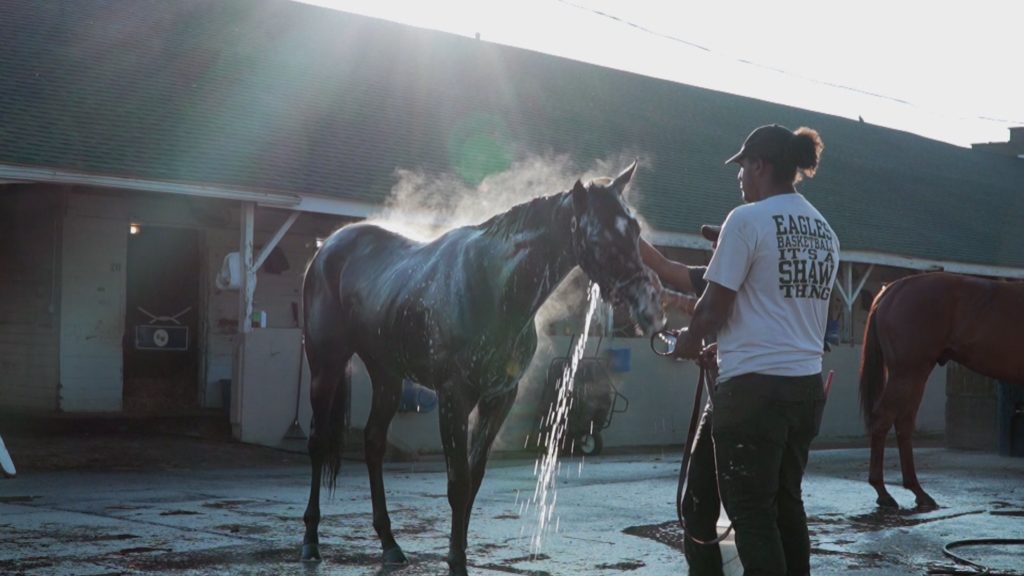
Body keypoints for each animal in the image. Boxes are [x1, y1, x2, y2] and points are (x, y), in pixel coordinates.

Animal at [299, 162, 663, 573]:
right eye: (598, 236)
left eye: (634, 230)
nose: (648, 303)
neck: (494, 286)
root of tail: (328, 247)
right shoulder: (453, 398)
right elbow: (457, 482)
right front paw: (455, 561)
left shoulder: (498, 398)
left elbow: (474, 479)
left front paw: (459, 553)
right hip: (325, 367)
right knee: (317, 442)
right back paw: (310, 542)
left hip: (387, 375)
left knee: (373, 443)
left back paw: (390, 544)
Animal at [860, 268, 1019, 506]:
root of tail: (896, 288)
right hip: (907, 372)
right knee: (884, 419)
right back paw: (884, 493)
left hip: (914, 376)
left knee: (904, 423)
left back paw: (917, 491)